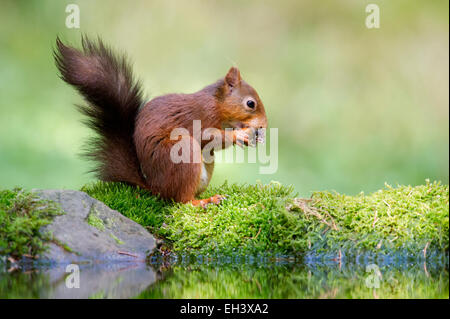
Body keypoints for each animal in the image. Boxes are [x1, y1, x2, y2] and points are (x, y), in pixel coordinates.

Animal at [55, 36, 268, 209]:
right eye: (250, 103)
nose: (264, 126)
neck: (217, 104)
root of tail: (155, 187)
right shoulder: (201, 117)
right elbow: (208, 138)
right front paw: (239, 135)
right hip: (182, 152)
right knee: (181, 201)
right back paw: (204, 201)